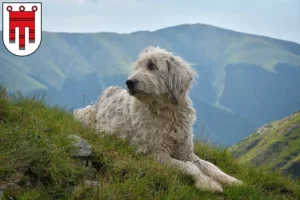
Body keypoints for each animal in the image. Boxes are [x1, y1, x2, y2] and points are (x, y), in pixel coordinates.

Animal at [74, 46, 243, 191]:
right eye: (137, 67)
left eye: (152, 66)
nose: (129, 82)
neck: (167, 114)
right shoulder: (155, 153)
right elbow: (190, 166)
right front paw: (207, 183)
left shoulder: (186, 151)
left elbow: (210, 166)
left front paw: (232, 180)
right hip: (85, 114)